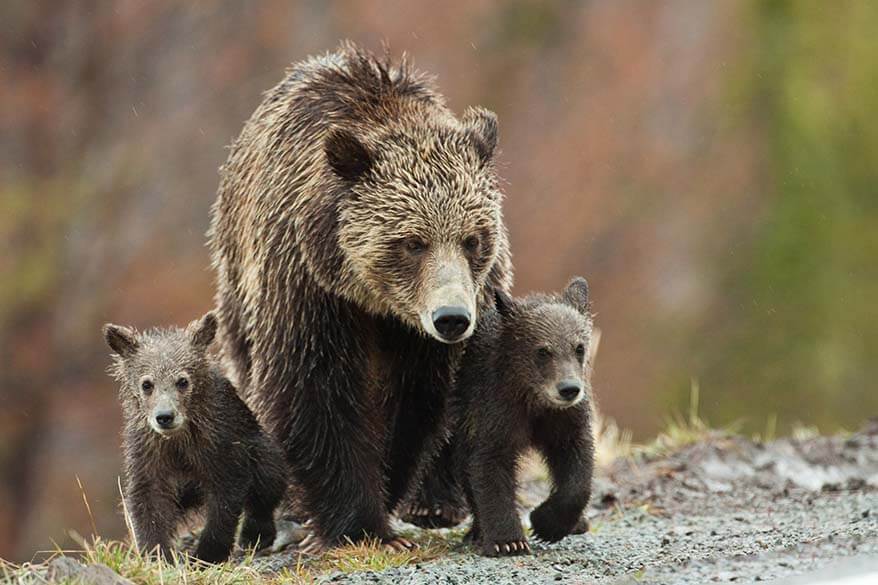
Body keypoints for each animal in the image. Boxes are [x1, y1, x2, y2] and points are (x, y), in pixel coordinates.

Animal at [105, 310, 288, 560]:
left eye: (182, 381)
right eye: (147, 384)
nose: (165, 416)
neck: (178, 440)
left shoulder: (220, 444)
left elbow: (225, 498)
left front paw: (206, 554)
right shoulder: (148, 451)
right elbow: (147, 500)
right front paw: (157, 554)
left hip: (258, 444)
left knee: (268, 479)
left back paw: (256, 535)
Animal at [209, 43, 512, 548]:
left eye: (472, 238)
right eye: (412, 242)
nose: (451, 317)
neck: (376, 302)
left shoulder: (429, 333)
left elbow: (416, 402)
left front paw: (390, 497)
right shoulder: (308, 288)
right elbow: (315, 394)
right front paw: (363, 526)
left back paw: (438, 503)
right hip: (237, 289)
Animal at [454, 278, 600, 556]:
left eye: (579, 347)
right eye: (542, 351)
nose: (569, 389)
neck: (535, 401)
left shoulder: (566, 421)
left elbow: (578, 469)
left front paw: (547, 523)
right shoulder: (494, 414)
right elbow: (489, 466)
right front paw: (509, 541)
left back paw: (579, 523)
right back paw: (478, 531)